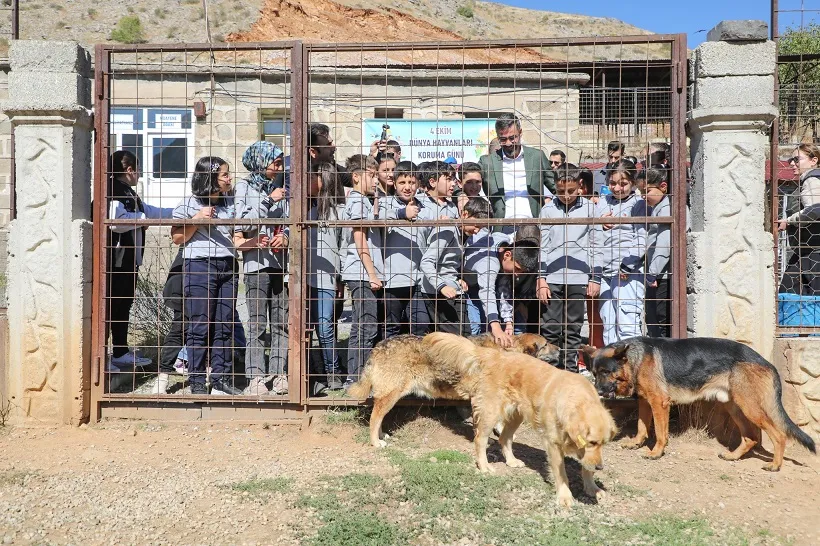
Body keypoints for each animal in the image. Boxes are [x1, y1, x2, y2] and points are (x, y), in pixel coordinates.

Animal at [346, 332, 556, 446]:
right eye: (546, 344)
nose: (560, 348)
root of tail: (378, 346)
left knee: (378, 417)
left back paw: (381, 436)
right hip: (391, 395)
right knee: (374, 418)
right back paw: (376, 442)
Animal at [422, 332, 616, 506]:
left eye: (603, 443)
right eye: (591, 442)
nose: (601, 467)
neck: (577, 400)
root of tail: (495, 355)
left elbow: (587, 467)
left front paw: (592, 488)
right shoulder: (553, 444)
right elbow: (561, 473)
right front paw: (565, 496)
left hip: (516, 415)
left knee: (504, 438)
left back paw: (511, 461)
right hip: (491, 412)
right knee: (480, 439)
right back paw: (484, 466)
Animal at [584, 336, 812, 468]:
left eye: (606, 372)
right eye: (594, 373)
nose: (597, 391)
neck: (634, 358)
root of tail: (766, 362)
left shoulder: (659, 402)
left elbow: (660, 432)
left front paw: (656, 453)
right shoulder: (645, 402)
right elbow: (642, 427)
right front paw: (636, 443)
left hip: (750, 408)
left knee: (779, 435)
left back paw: (774, 465)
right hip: (735, 408)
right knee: (750, 438)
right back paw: (733, 457)